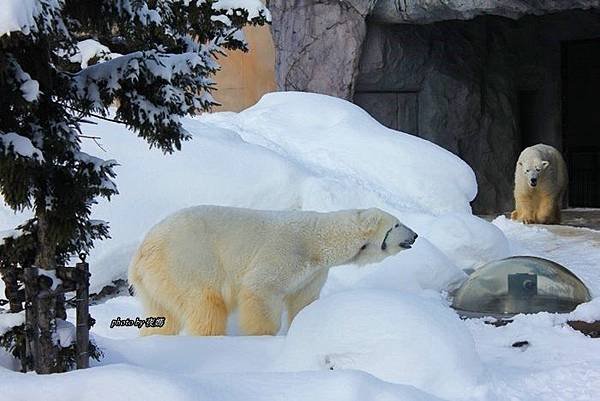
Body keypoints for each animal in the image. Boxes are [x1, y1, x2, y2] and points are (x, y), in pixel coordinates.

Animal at [127, 205, 418, 336]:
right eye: (397, 224)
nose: (415, 235)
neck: (316, 240)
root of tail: (141, 252)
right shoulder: (285, 251)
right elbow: (261, 288)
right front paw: (263, 335)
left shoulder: (313, 273)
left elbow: (303, 300)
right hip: (187, 261)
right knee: (206, 303)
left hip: (157, 280)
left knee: (162, 313)